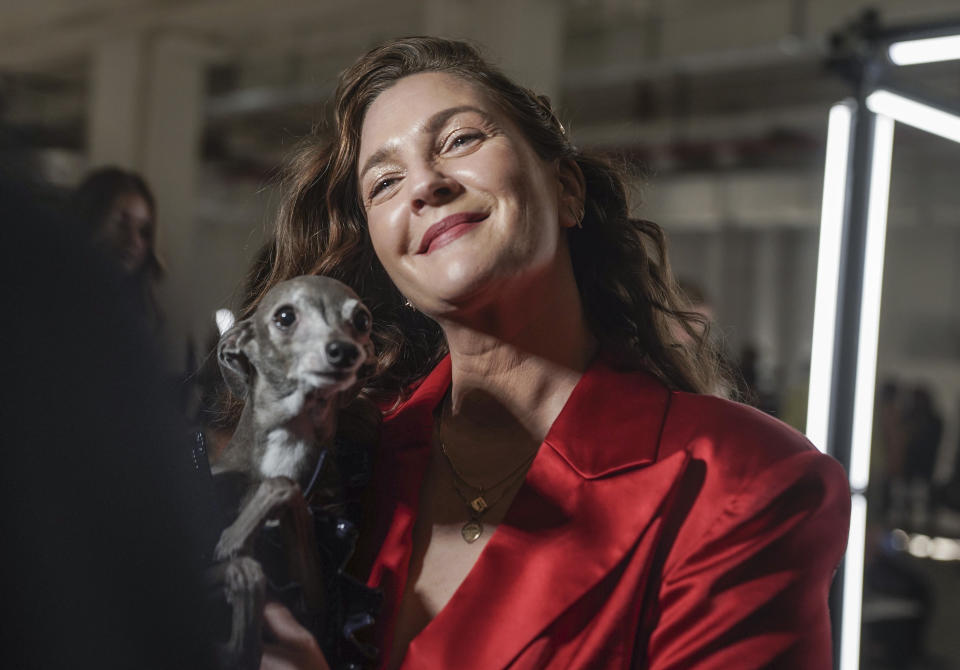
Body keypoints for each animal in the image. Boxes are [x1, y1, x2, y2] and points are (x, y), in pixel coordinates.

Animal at [208, 276, 374, 668]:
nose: (344, 352)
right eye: (285, 316)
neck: (290, 436)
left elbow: (282, 486)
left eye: (362, 319)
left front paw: (235, 537)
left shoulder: (315, 602)